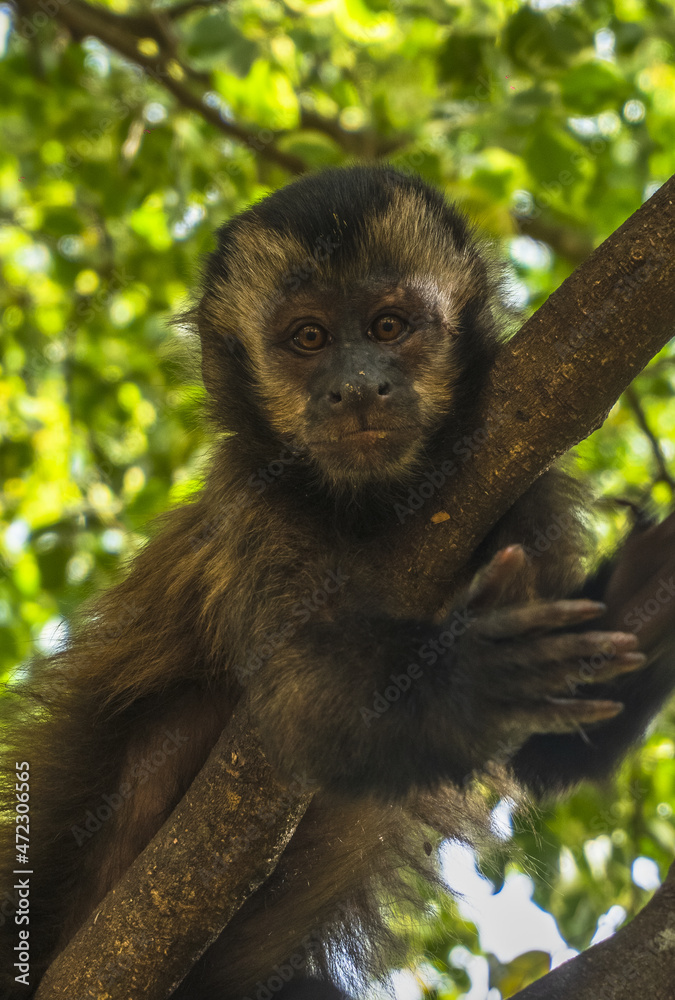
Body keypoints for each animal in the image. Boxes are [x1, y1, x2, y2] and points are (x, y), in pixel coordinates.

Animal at [1, 164, 674, 1000]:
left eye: (388, 327)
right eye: (309, 338)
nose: (356, 387)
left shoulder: (526, 491)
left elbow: (556, 739)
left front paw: (653, 581)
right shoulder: (256, 510)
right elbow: (298, 704)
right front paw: (475, 674)